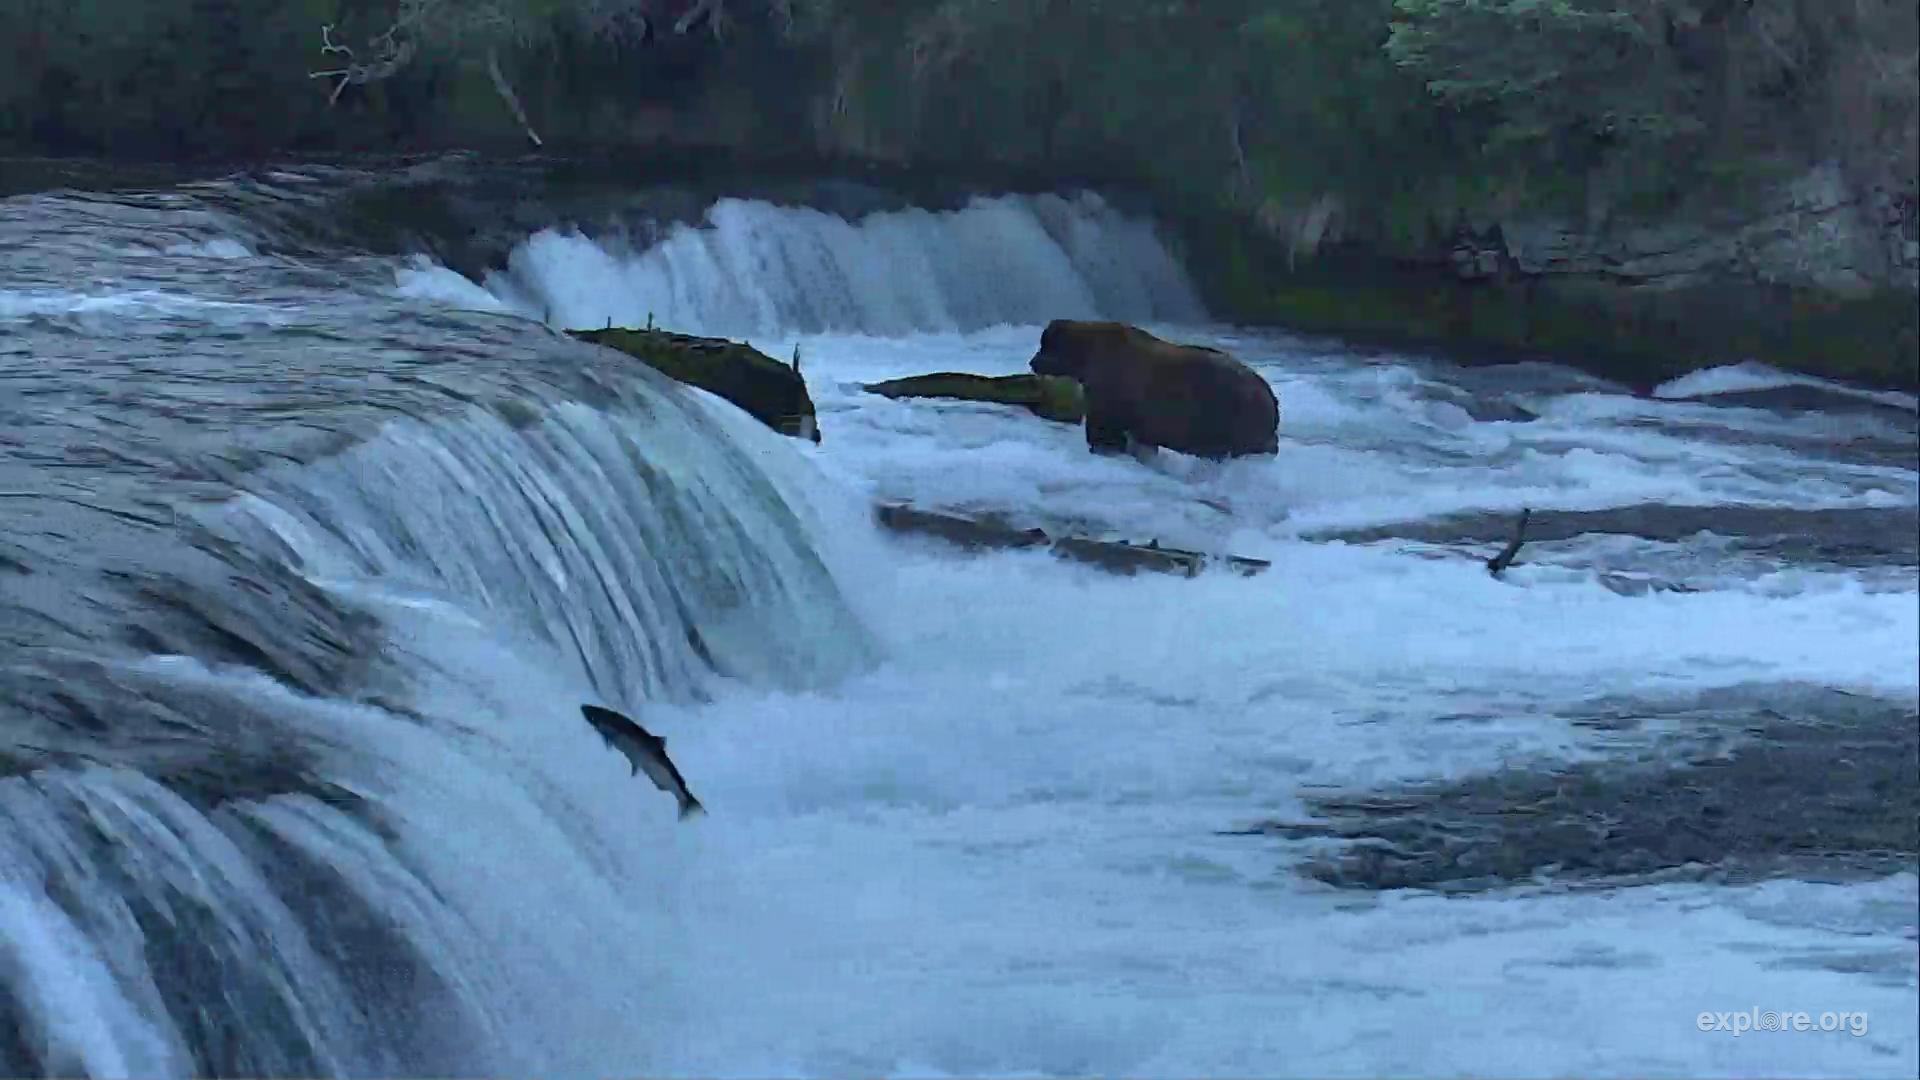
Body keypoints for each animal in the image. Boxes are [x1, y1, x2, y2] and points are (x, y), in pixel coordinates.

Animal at [1027, 320, 1279, 459]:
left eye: (1045, 346)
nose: (1032, 362)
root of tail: (1270, 397)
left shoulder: (1113, 388)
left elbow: (1105, 428)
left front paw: (1104, 447)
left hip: (1231, 416)